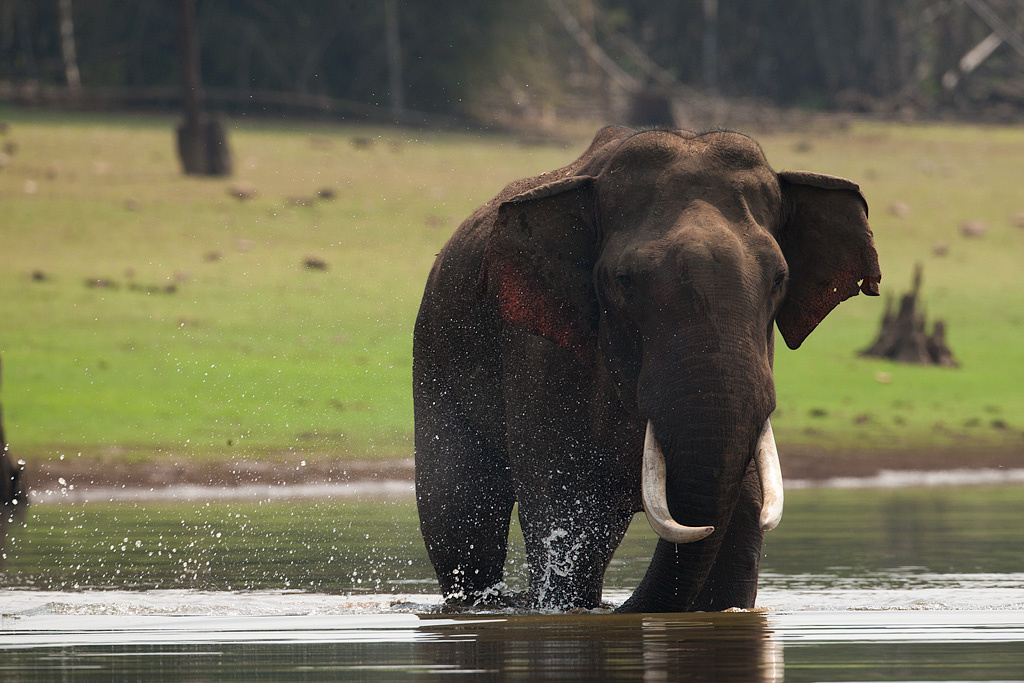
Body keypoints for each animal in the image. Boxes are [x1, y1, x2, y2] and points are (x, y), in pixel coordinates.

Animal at [411, 124, 876, 614]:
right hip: (435, 352)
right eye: (624, 281)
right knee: (459, 511)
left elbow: (743, 518)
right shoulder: (537, 350)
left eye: (779, 279)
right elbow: (564, 509)